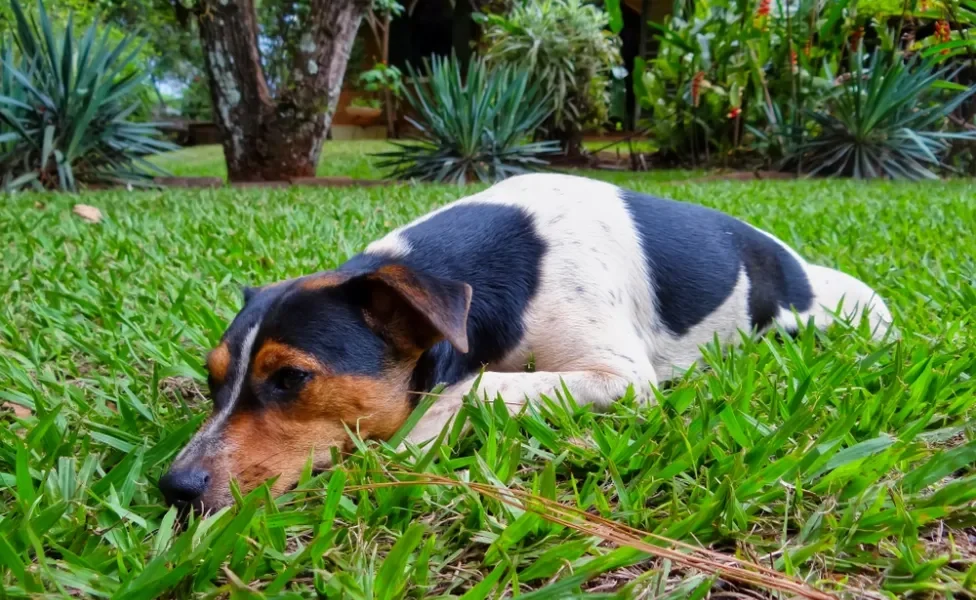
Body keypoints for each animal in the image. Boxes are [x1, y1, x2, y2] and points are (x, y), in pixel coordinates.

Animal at [158, 172, 892, 510]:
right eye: (211, 380)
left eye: (291, 379)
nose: (175, 486)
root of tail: (794, 263)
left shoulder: (622, 377)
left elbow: (473, 384)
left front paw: (418, 438)